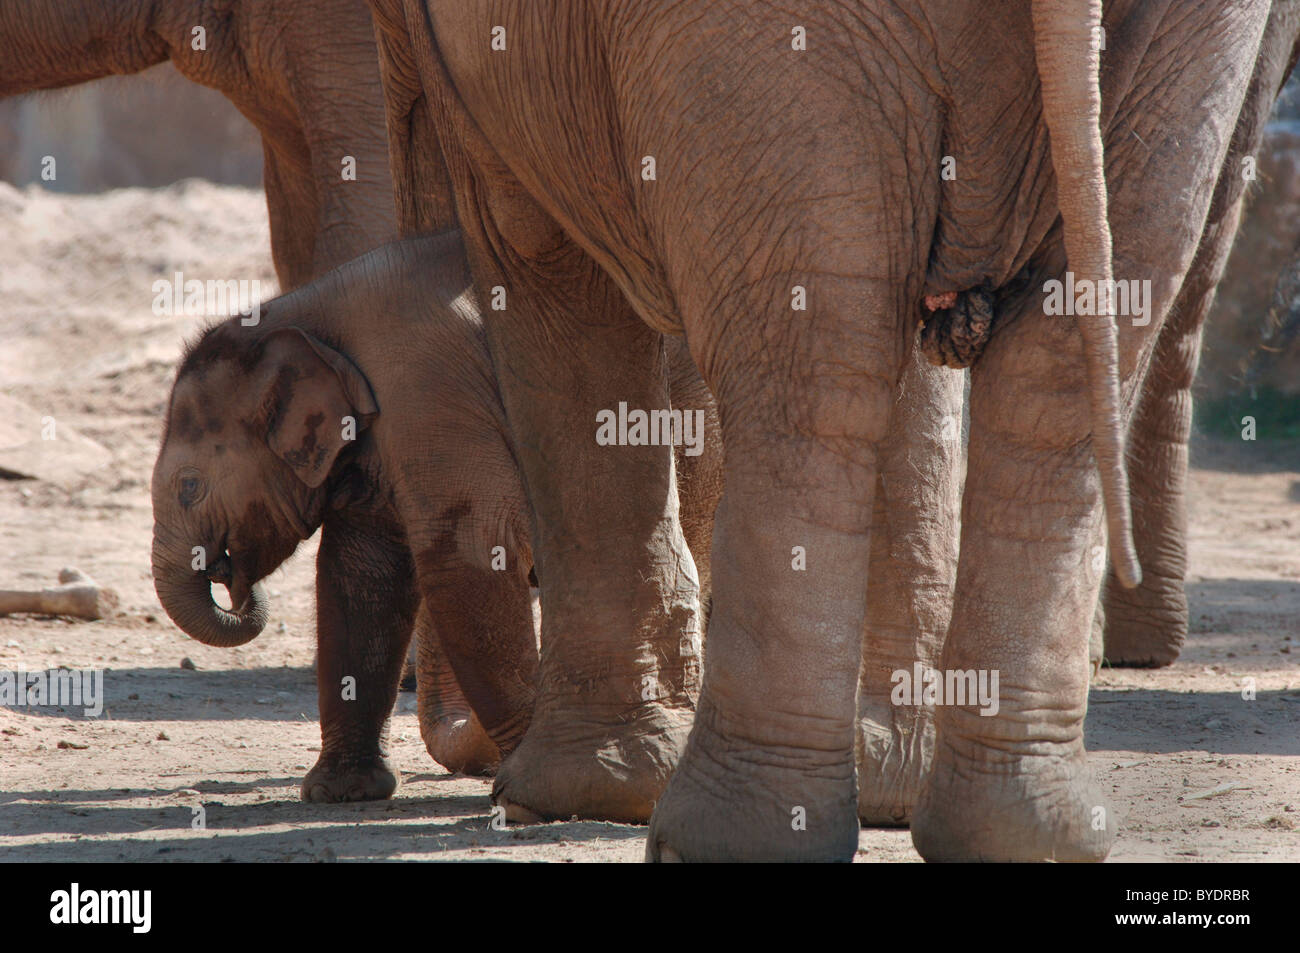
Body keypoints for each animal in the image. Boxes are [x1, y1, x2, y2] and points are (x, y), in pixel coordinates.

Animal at [149, 229, 725, 800]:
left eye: (189, 487)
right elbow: (360, 575)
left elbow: (468, 557)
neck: (298, 313)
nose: (231, 578)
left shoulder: (433, 399)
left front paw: (518, 778)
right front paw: (342, 792)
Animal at [365, 0, 1292, 862]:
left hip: (756, 37)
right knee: (1061, 350)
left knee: (813, 368)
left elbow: (537, 256)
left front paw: (566, 793)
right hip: (1194, 37)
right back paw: (1014, 833)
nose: (472, 755)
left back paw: (723, 838)